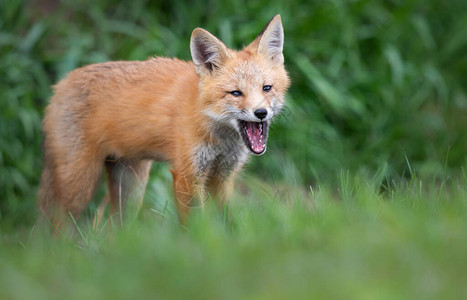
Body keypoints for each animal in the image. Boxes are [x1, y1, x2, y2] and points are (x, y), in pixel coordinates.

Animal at [38, 14, 290, 225]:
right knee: (59, 226)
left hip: (130, 186)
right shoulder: (187, 175)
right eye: (236, 93)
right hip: (79, 184)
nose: (261, 113)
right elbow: (195, 224)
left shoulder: (223, 176)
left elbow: (225, 220)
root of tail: (59, 85)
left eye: (267, 88)